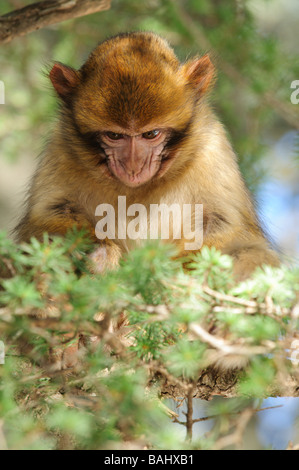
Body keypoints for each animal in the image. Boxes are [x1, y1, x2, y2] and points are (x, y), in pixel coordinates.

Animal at [14, 34, 282, 282]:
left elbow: (228, 227)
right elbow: (45, 219)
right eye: (114, 135)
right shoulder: (61, 147)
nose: (133, 166)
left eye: (151, 134)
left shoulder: (212, 147)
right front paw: (100, 254)